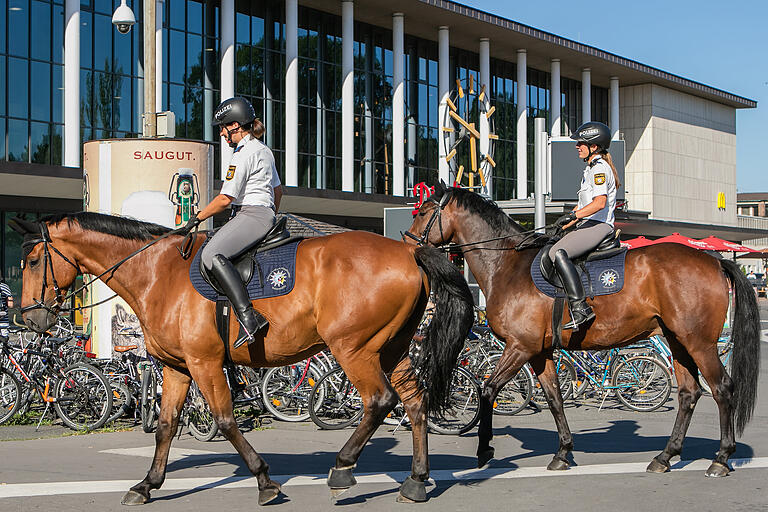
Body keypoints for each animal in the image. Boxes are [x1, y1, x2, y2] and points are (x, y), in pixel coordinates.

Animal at [10, 211, 474, 504]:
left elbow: (225, 420)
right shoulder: (177, 367)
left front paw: (265, 480)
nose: (29, 318)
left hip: (354, 349)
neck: (158, 272)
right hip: (392, 347)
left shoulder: (204, 363)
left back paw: (343, 469)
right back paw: (416, 481)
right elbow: (166, 425)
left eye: (31, 260)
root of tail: (408, 252)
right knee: (414, 403)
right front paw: (147, 484)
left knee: (379, 401)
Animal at [404, 186, 760, 478]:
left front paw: (485, 450)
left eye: (422, 211)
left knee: (722, 389)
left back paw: (720, 459)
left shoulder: (520, 347)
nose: (407, 243)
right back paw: (665, 456)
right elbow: (554, 398)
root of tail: (714, 261)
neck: (508, 267)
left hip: (699, 343)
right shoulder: (540, 352)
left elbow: (488, 390)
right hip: (678, 342)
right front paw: (563, 452)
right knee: (688, 393)